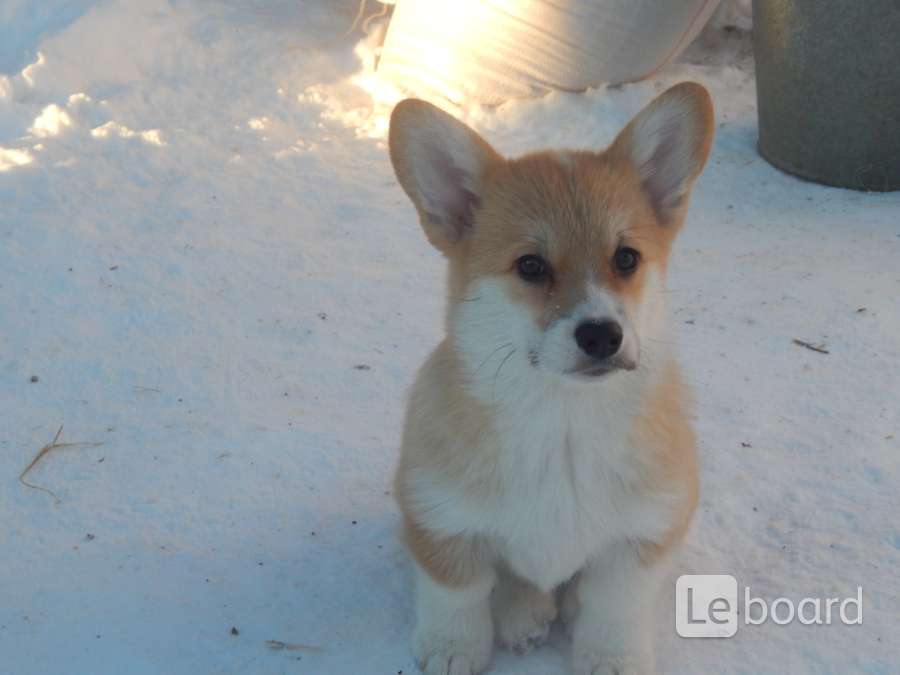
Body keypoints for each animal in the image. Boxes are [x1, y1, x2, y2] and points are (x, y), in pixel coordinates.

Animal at [390, 82, 712, 672]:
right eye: (531, 267)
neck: (563, 422)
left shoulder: (643, 534)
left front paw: (610, 658)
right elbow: (457, 592)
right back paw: (523, 615)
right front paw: (453, 648)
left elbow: (614, 605)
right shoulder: (440, 517)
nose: (602, 336)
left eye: (626, 258)